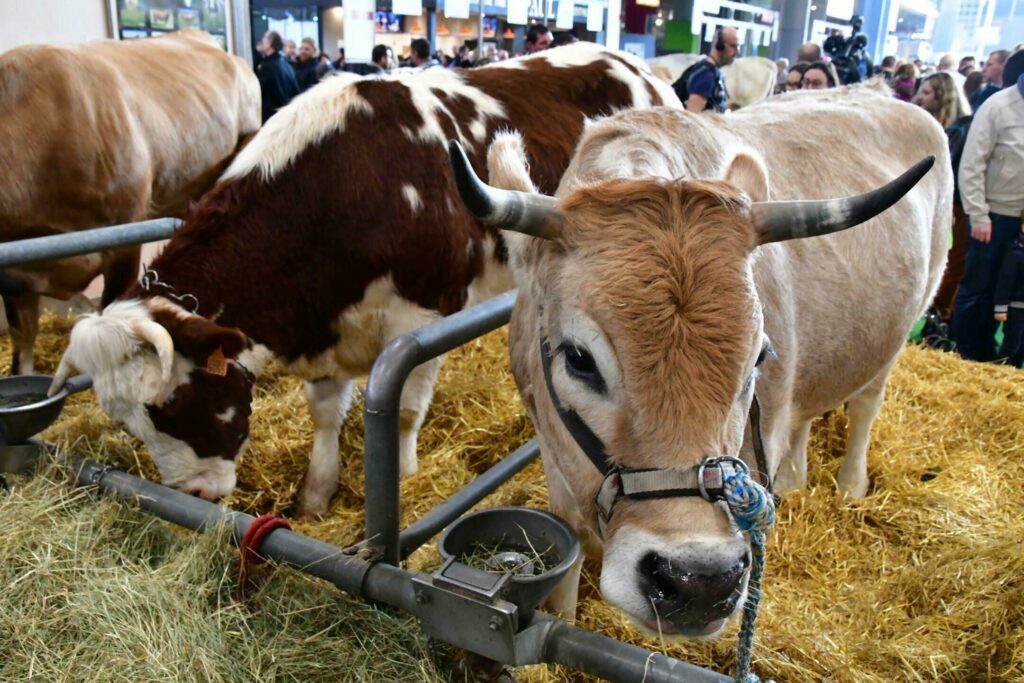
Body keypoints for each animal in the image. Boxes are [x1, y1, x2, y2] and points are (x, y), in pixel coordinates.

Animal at [51, 42, 684, 511]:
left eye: (173, 405)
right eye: (128, 424)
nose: (197, 494)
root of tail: (640, 67)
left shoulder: (424, 314)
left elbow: (402, 408)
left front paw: (402, 475)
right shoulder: (326, 323)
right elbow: (325, 414)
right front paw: (317, 493)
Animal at [452, 83, 954, 634]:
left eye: (758, 357)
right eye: (579, 358)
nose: (699, 581)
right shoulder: (553, 451)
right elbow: (567, 556)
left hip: (906, 322)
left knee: (865, 404)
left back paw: (849, 486)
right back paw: (797, 480)